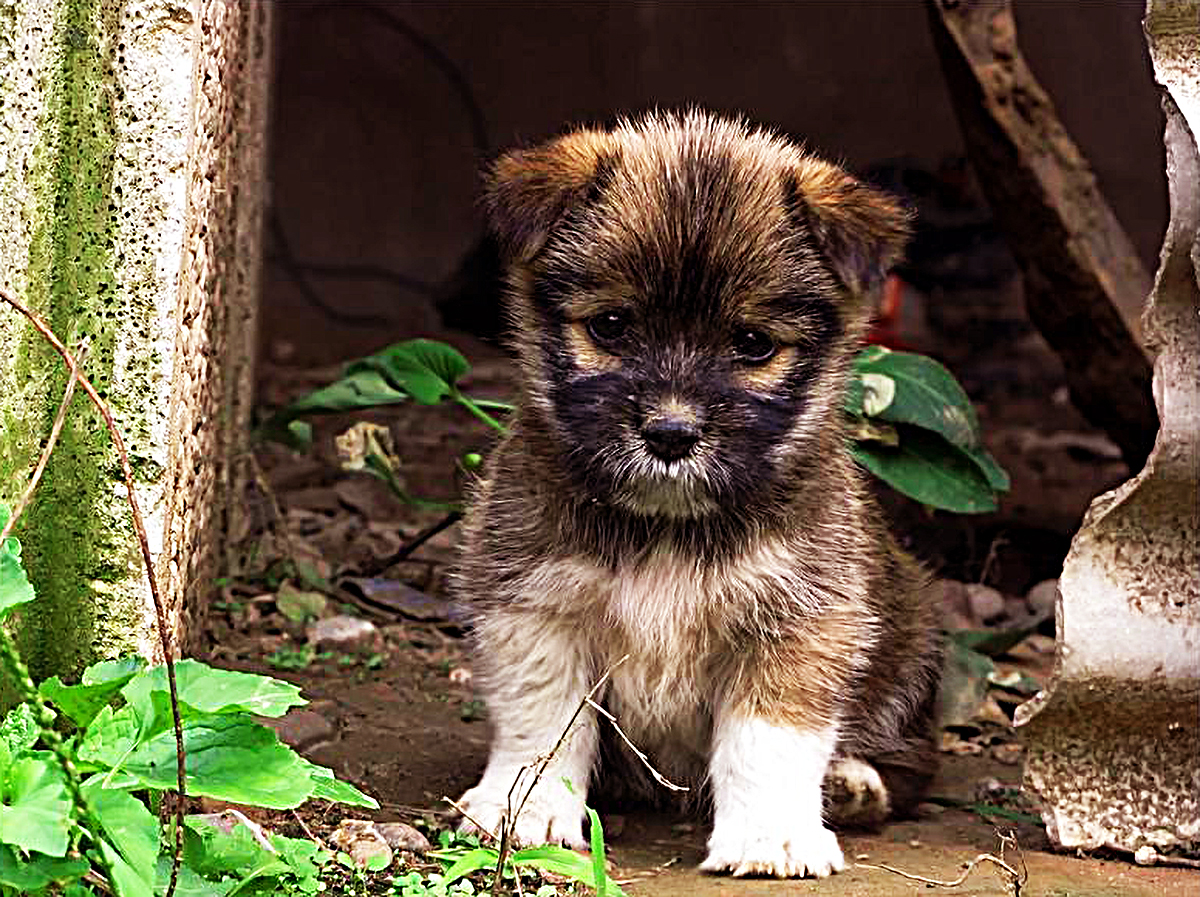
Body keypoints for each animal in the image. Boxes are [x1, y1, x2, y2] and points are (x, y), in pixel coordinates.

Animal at [453, 110, 940, 877]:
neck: (666, 525)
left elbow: (769, 737)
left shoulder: (800, 623)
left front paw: (771, 833)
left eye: (753, 343)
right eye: (610, 326)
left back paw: (852, 782)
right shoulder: (536, 605)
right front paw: (526, 805)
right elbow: (544, 718)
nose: (671, 433)